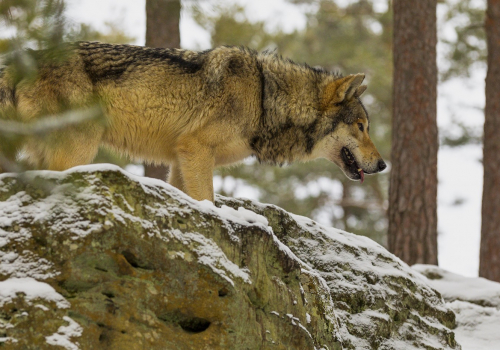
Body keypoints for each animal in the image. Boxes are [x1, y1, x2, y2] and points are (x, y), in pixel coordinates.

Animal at [0, 41, 386, 201]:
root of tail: (22, 59)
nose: (383, 165)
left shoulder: (178, 160)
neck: (264, 98)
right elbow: (208, 202)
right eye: (361, 127)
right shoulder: (196, 149)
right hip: (79, 150)